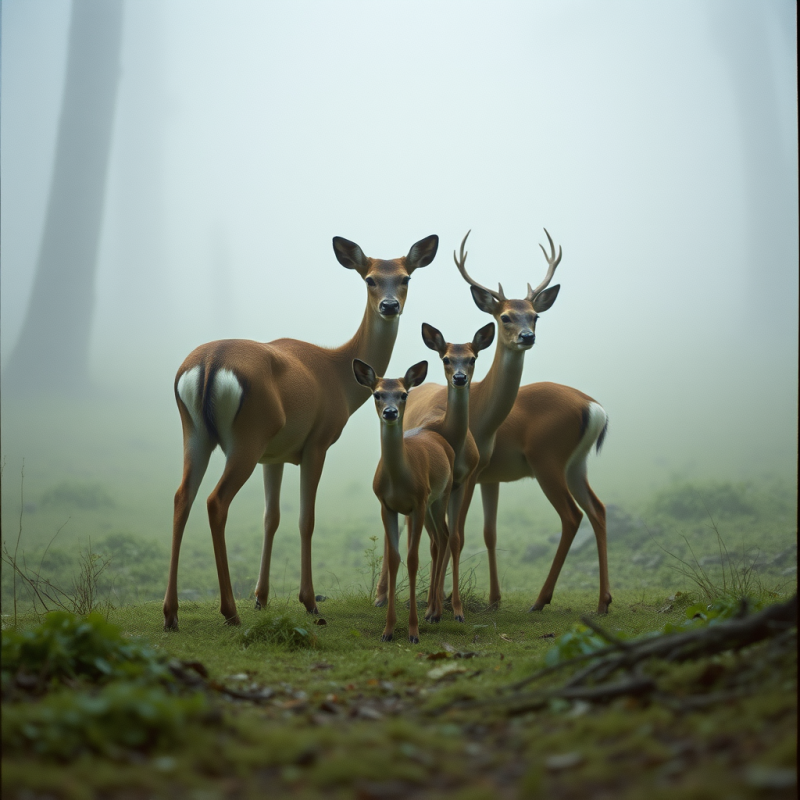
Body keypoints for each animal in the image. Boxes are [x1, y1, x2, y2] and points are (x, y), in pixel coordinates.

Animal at [163, 234, 439, 631]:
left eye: (405, 277)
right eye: (370, 279)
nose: (390, 305)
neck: (338, 375)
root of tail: (209, 363)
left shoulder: (274, 455)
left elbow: (271, 517)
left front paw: (261, 597)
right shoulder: (317, 444)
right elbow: (306, 519)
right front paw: (308, 601)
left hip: (196, 435)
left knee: (181, 497)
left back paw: (171, 613)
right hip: (245, 440)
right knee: (215, 501)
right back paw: (229, 610)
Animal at [353, 359, 455, 643]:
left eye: (403, 394)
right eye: (377, 394)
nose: (390, 413)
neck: (400, 480)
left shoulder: (417, 503)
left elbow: (412, 559)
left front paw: (413, 631)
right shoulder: (386, 506)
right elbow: (393, 558)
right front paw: (388, 630)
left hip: (441, 494)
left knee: (445, 536)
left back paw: (437, 612)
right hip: (430, 505)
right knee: (439, 538)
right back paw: (432, 609)